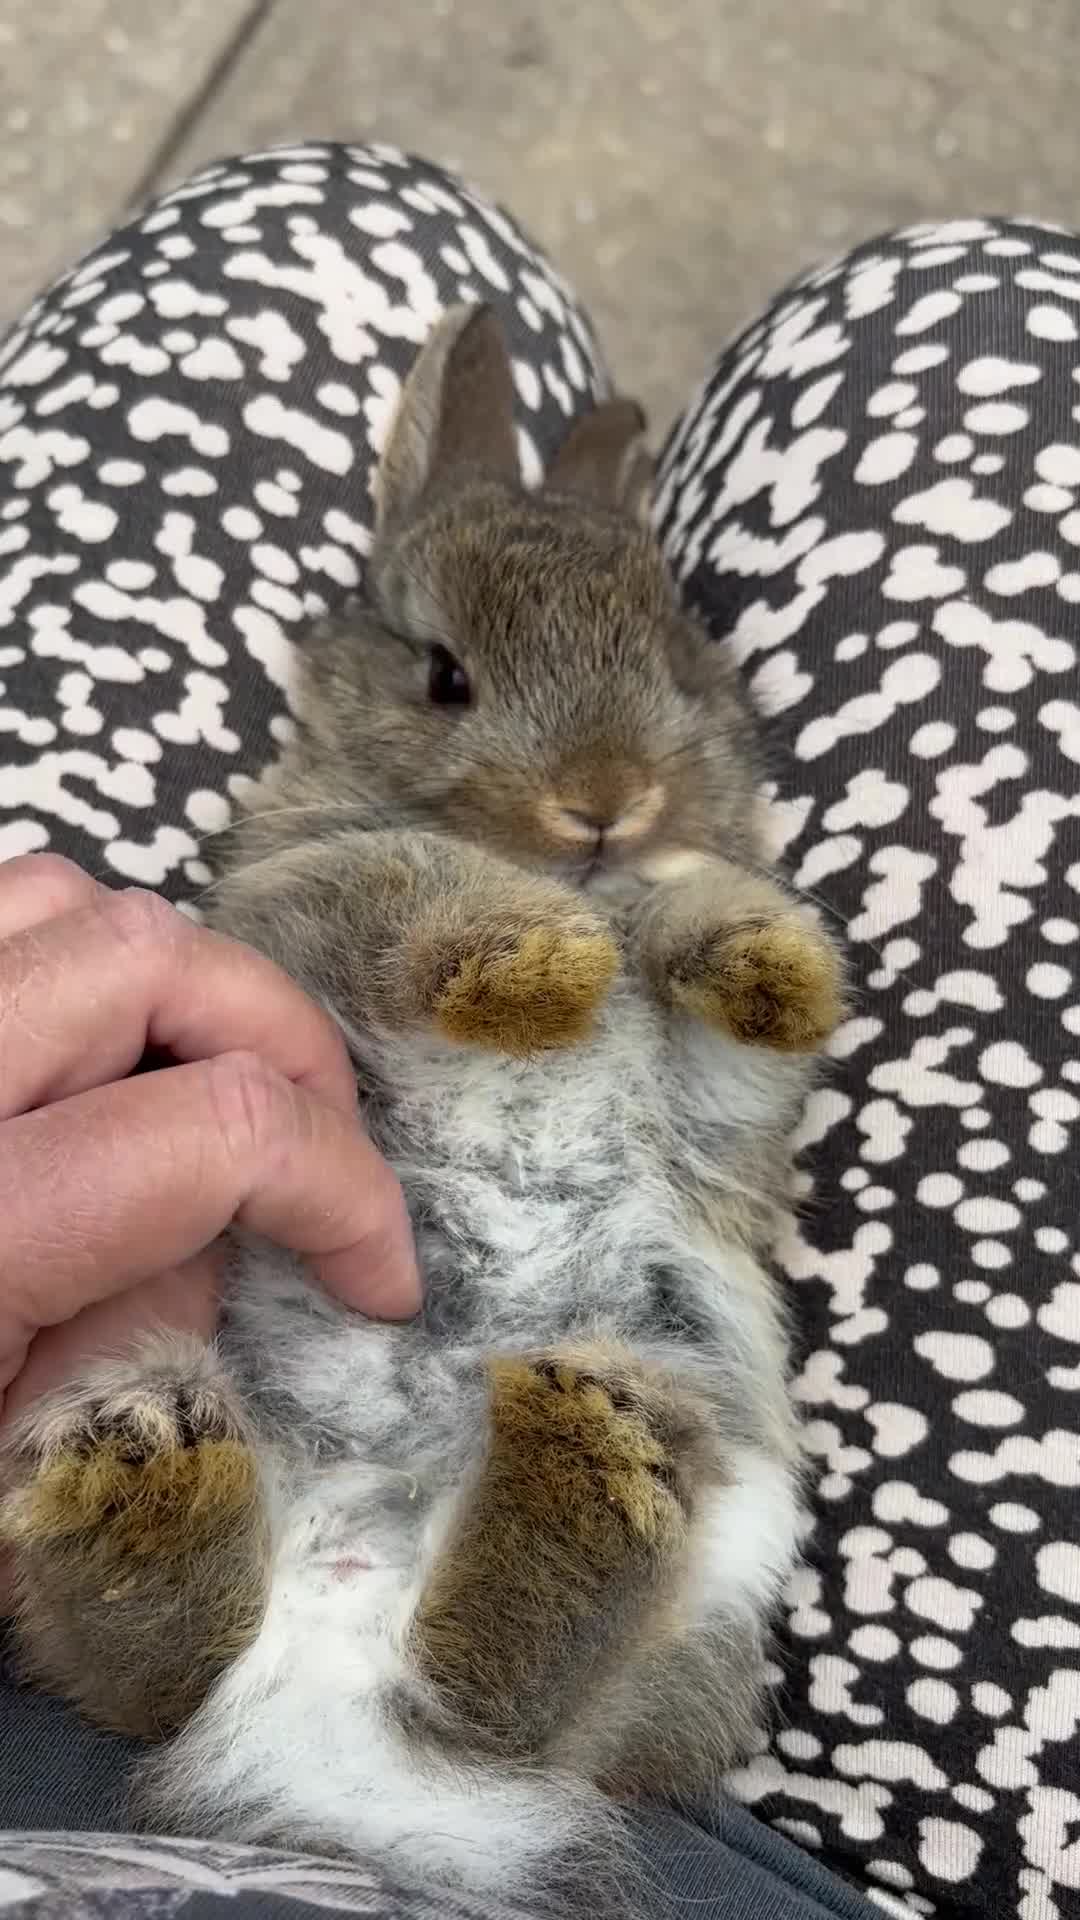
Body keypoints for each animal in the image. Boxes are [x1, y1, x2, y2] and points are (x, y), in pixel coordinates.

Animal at [1, 304, 844, 1916]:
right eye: (446, 677)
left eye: (679, 659)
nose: (607, 798)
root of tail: (333, 1668)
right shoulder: (304, 902)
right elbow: (405, 889)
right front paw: (540, 961)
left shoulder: (719, 1125)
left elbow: (729, 1014)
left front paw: (758, 948)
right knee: (152, 1678)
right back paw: (146, 1471)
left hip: (715, 1560)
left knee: (509, 1707)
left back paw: (577, 1467)